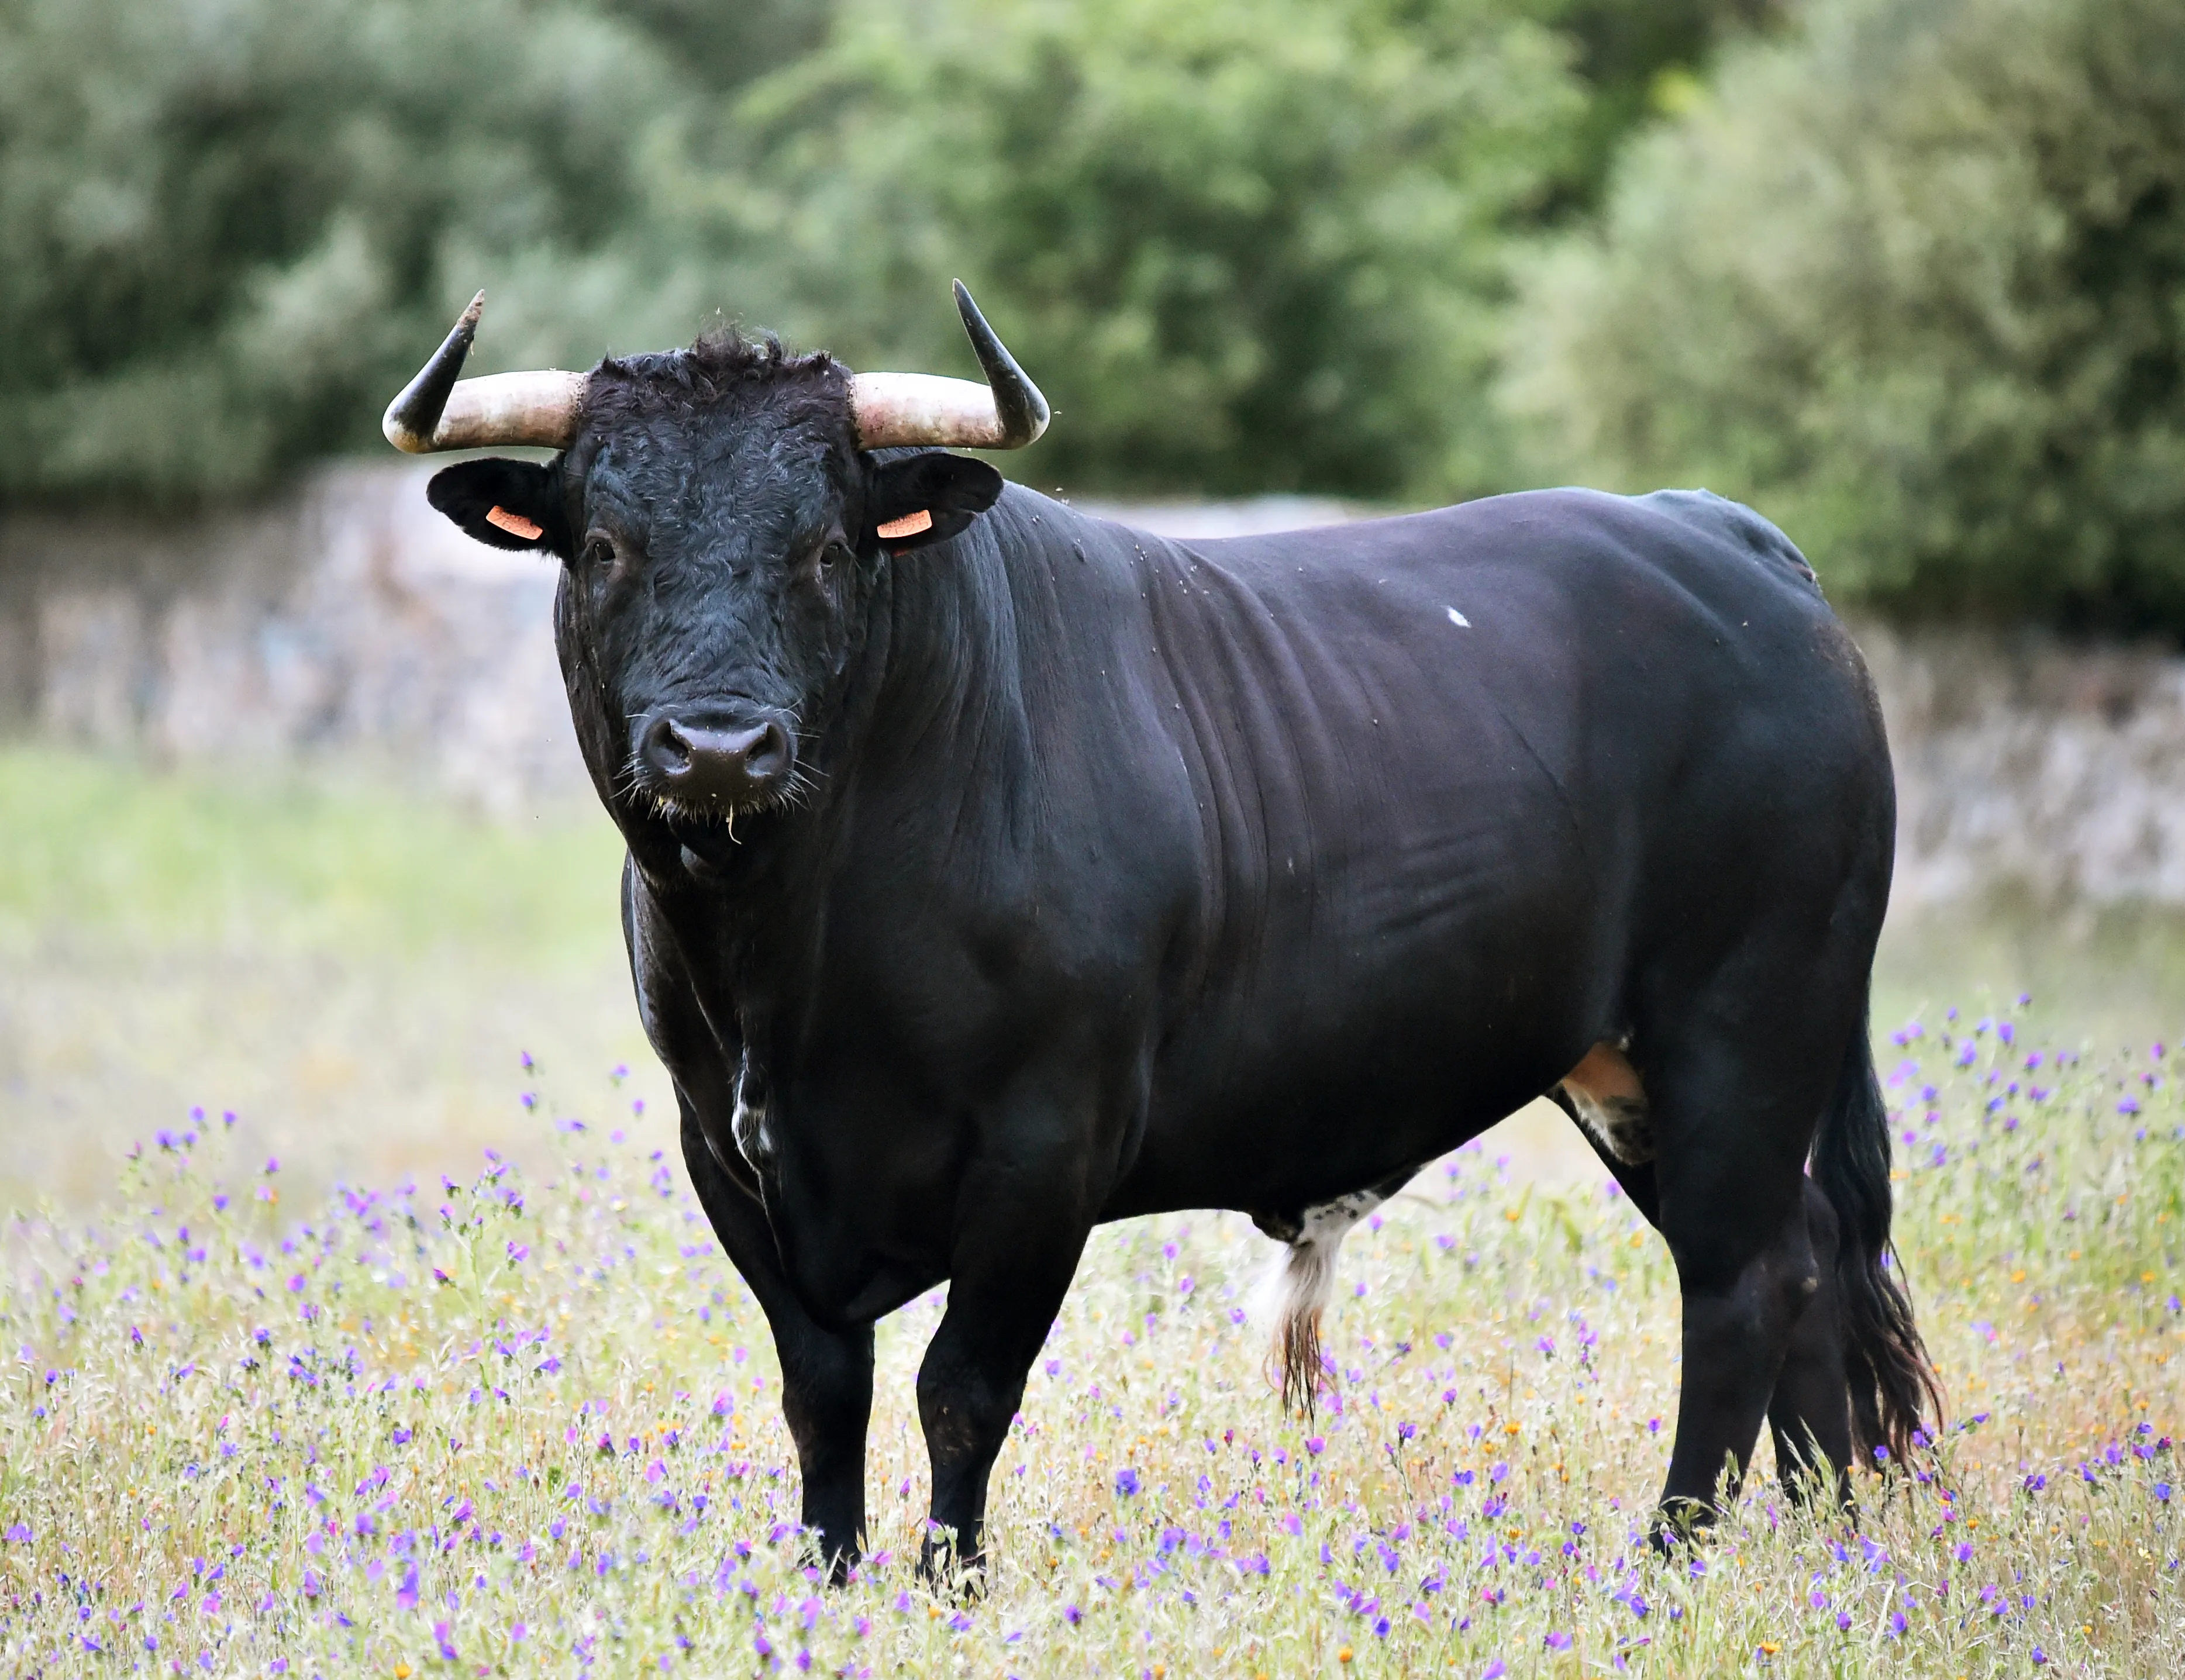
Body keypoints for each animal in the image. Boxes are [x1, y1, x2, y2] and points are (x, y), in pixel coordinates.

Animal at [422, 437, 1931, 1572]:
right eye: (602, 546)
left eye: (829, 547)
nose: (719, 745)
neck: (786, 977)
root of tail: (1709, 528)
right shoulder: (722, 1142)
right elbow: (822, 1389)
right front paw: (826, 1582)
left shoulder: (1045, 1142)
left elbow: (959, 1388)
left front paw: (947, 1584)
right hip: (1639, 1069)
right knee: (1801, 1256)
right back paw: (1826, 1537)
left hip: (1744, 1017)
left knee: (1741, 1280)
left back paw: (1668, 1553)